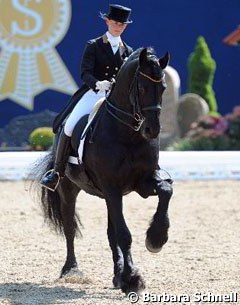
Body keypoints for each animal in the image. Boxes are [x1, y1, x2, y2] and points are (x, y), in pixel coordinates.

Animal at [32, 47, 173, 292]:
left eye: (163, 87)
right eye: (142, 87)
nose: (152, 130)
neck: (128, 133)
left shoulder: (143, 182)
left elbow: (166, 191)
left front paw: (156, 239)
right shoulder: (112, 187)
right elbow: (124, 234)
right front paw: (133, 279)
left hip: (107, 196)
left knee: (110, 232)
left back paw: (117, 276)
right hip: (69, 189)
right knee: (70, 227)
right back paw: (71, 270)